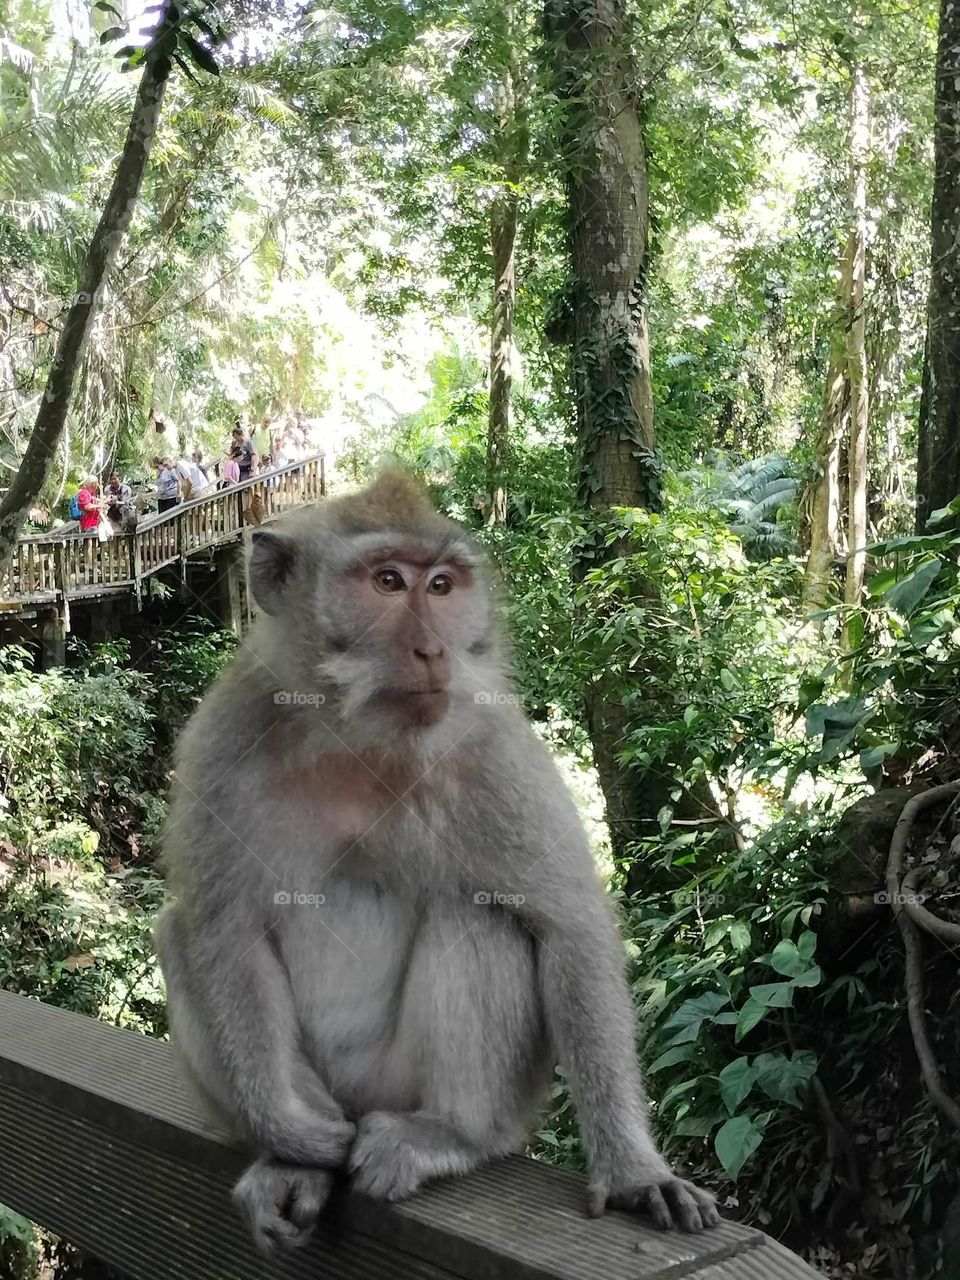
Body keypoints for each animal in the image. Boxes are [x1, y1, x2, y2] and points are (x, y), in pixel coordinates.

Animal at [154, 468, 720, 1253]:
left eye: (444, 586)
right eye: (388, 582)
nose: (433, 651)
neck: (357, 736)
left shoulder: (492, 745)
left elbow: (568, 924)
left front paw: (636, 1173)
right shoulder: (225, 738)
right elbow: (222, 928)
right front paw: (289, 1135)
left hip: (438, 1092)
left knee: (480, 917)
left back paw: (450, 1135)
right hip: (334, 1089)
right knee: (178, 931)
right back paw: (297, 1161)